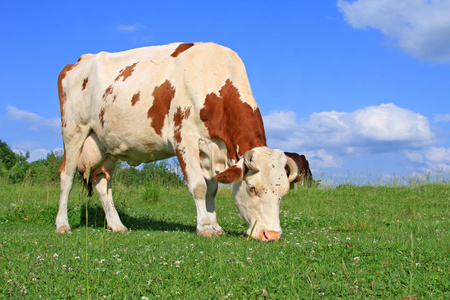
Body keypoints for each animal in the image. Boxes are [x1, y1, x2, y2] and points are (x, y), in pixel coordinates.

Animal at [54, 42, 298, 241]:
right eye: (252, 188)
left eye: (284, 192)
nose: (271, 235)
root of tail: (80, 60)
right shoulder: (184, 138)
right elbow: (199, 186)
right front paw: (205, 228)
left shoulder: (208, 147)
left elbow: (211, 189)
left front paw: (216, 226)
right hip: (73, 131)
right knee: (66, 176)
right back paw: (62, 225)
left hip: (106, 145)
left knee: (103, 183)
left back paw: (117, 225)